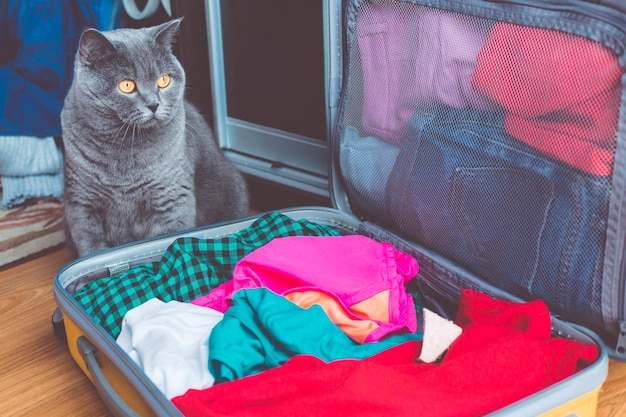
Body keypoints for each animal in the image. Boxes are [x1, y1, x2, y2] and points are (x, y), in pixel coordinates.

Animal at [61, 18, 249, 256]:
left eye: (163, 80)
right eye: (126, 85)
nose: (153, 104)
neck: (124, 147)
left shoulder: (171, 199)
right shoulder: (81, 202)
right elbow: (90, 246)